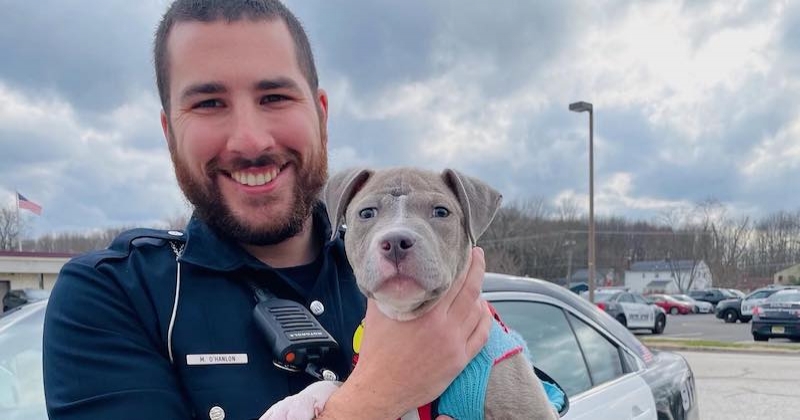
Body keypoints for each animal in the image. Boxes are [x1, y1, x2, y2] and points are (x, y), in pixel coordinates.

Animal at [262, 168, 556, 420]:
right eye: (366, 213)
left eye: (441, 211)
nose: (395, 241)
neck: (405, 314)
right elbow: (338, 383)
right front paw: (291, 404)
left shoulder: (528, 407)